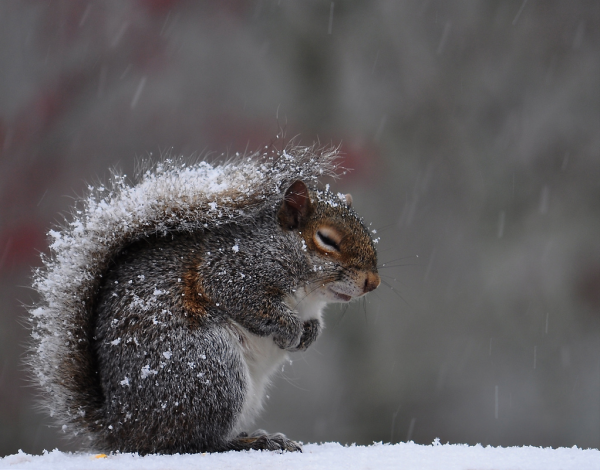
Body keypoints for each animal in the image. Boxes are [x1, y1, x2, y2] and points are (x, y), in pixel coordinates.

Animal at [29, 144, 380, 456]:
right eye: (326, 240)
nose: (373, 283)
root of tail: (123, 427)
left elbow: (313, 322)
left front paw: (310, 334)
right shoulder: (231, 272)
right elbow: (251, 303)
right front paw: (291, 330)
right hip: (210, 370)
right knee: (194, 442)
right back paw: (253, 441)